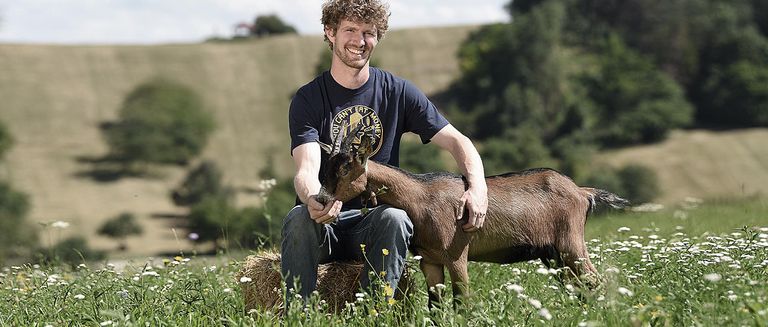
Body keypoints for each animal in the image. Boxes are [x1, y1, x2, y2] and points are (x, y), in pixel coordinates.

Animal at [316, 128, 628, 304]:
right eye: (326, 167)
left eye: (345, 168)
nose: (321, 198)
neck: (421, 198)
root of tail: (582, 192)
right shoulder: (430, 261)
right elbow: (436, 306)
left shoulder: (457, 255)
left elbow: (461, 302)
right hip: (553, 255)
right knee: (581, 289)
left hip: (571, 245)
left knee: (597, 283)